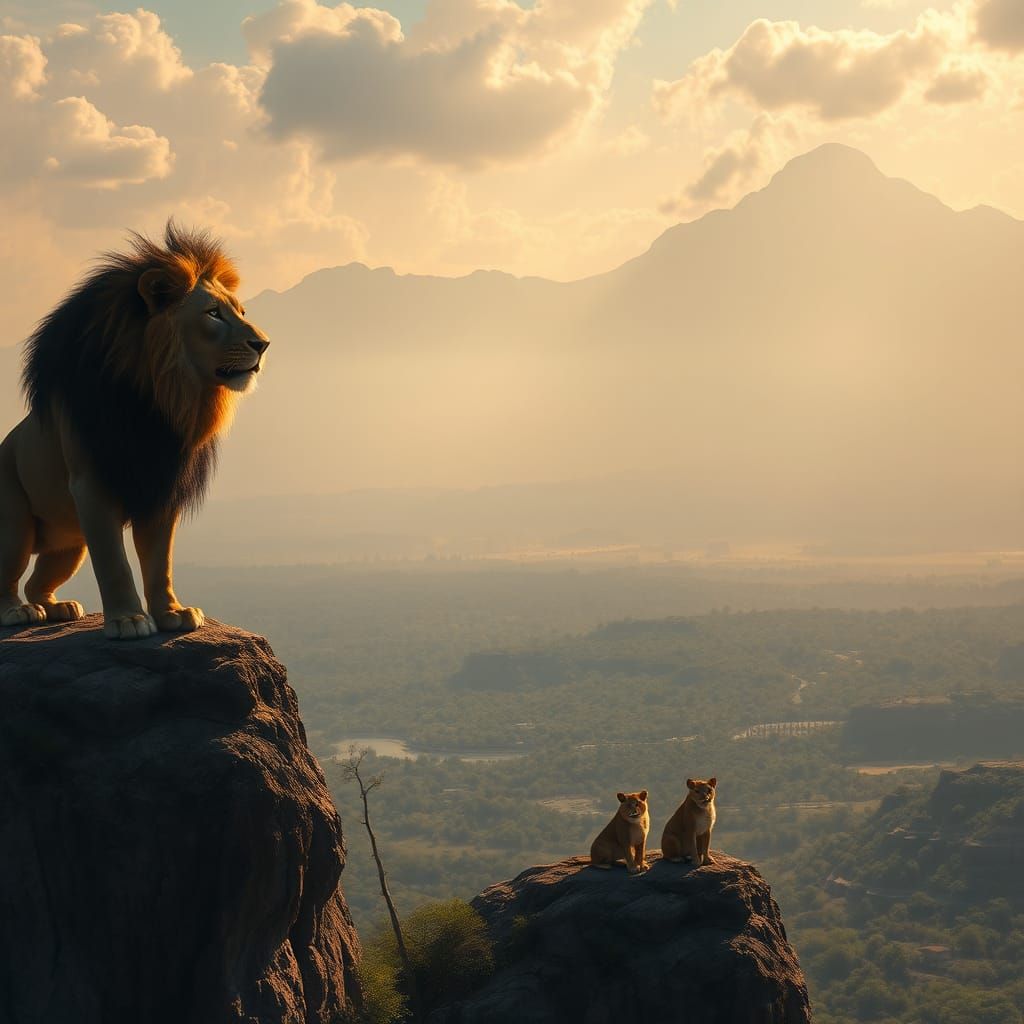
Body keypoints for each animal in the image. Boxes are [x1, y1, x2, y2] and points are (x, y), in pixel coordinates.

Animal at [0, 221, 268, 639]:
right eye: (213, 314)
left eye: (240, 312)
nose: (263, 343)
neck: (160, 396)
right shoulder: (91, 484)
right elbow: (115, 562)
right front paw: (128, 620)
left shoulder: (162, 484)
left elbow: (160, 562)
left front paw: (172, 613)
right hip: (15, 522)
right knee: (9, 576)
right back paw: (17, 611)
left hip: (68, 543)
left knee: (37, 580)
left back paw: (57, 607)